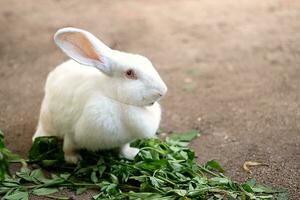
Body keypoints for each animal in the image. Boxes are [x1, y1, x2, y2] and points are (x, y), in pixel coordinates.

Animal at [34, 27, 169, 163]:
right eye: (129, 73)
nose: (162, 91)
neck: (115, 99)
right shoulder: (71, 134)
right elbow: (69, 148)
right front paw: (74, 160)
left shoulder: (124, 141)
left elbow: (123, 149)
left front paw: (132, 154)